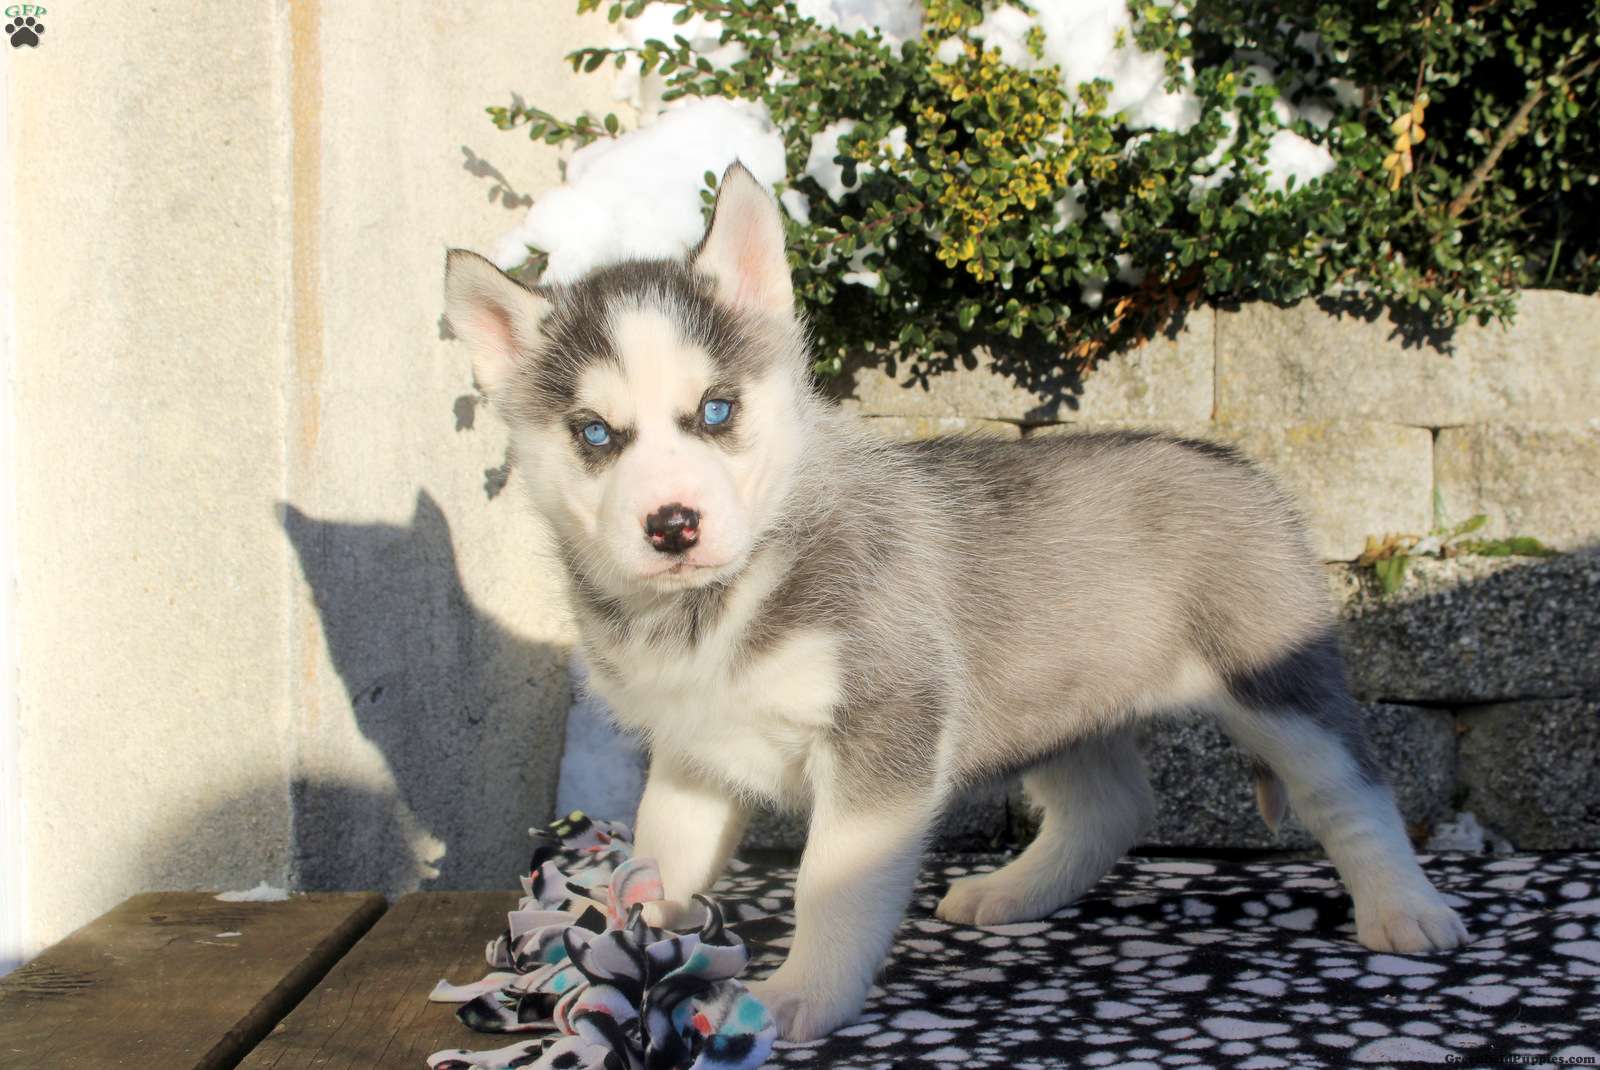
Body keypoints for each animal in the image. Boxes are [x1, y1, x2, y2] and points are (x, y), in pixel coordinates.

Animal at [442, 162, 1467, 1041]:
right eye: (595, 434)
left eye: (717, 411)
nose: (672, 525)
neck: (718, 603)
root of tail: (1243, 465)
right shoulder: (695, 755)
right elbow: (661, 855)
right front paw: (629, 955)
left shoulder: (884, 731)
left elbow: (829, 881)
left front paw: (802, 993)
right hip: (1055, 704)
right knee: (1112, 805)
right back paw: (1014, 892)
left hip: (1276, 683)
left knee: (1351, 789)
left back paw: (1408, 911)